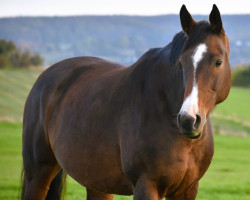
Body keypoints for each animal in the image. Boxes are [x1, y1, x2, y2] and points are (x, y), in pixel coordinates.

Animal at [21, 4, 230, 200]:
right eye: (182, 63)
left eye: (218, 62)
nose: (188, 120)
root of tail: (46, 75)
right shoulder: (146, 186)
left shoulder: (187, 190)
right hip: (38, 174)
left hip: (98, 183)